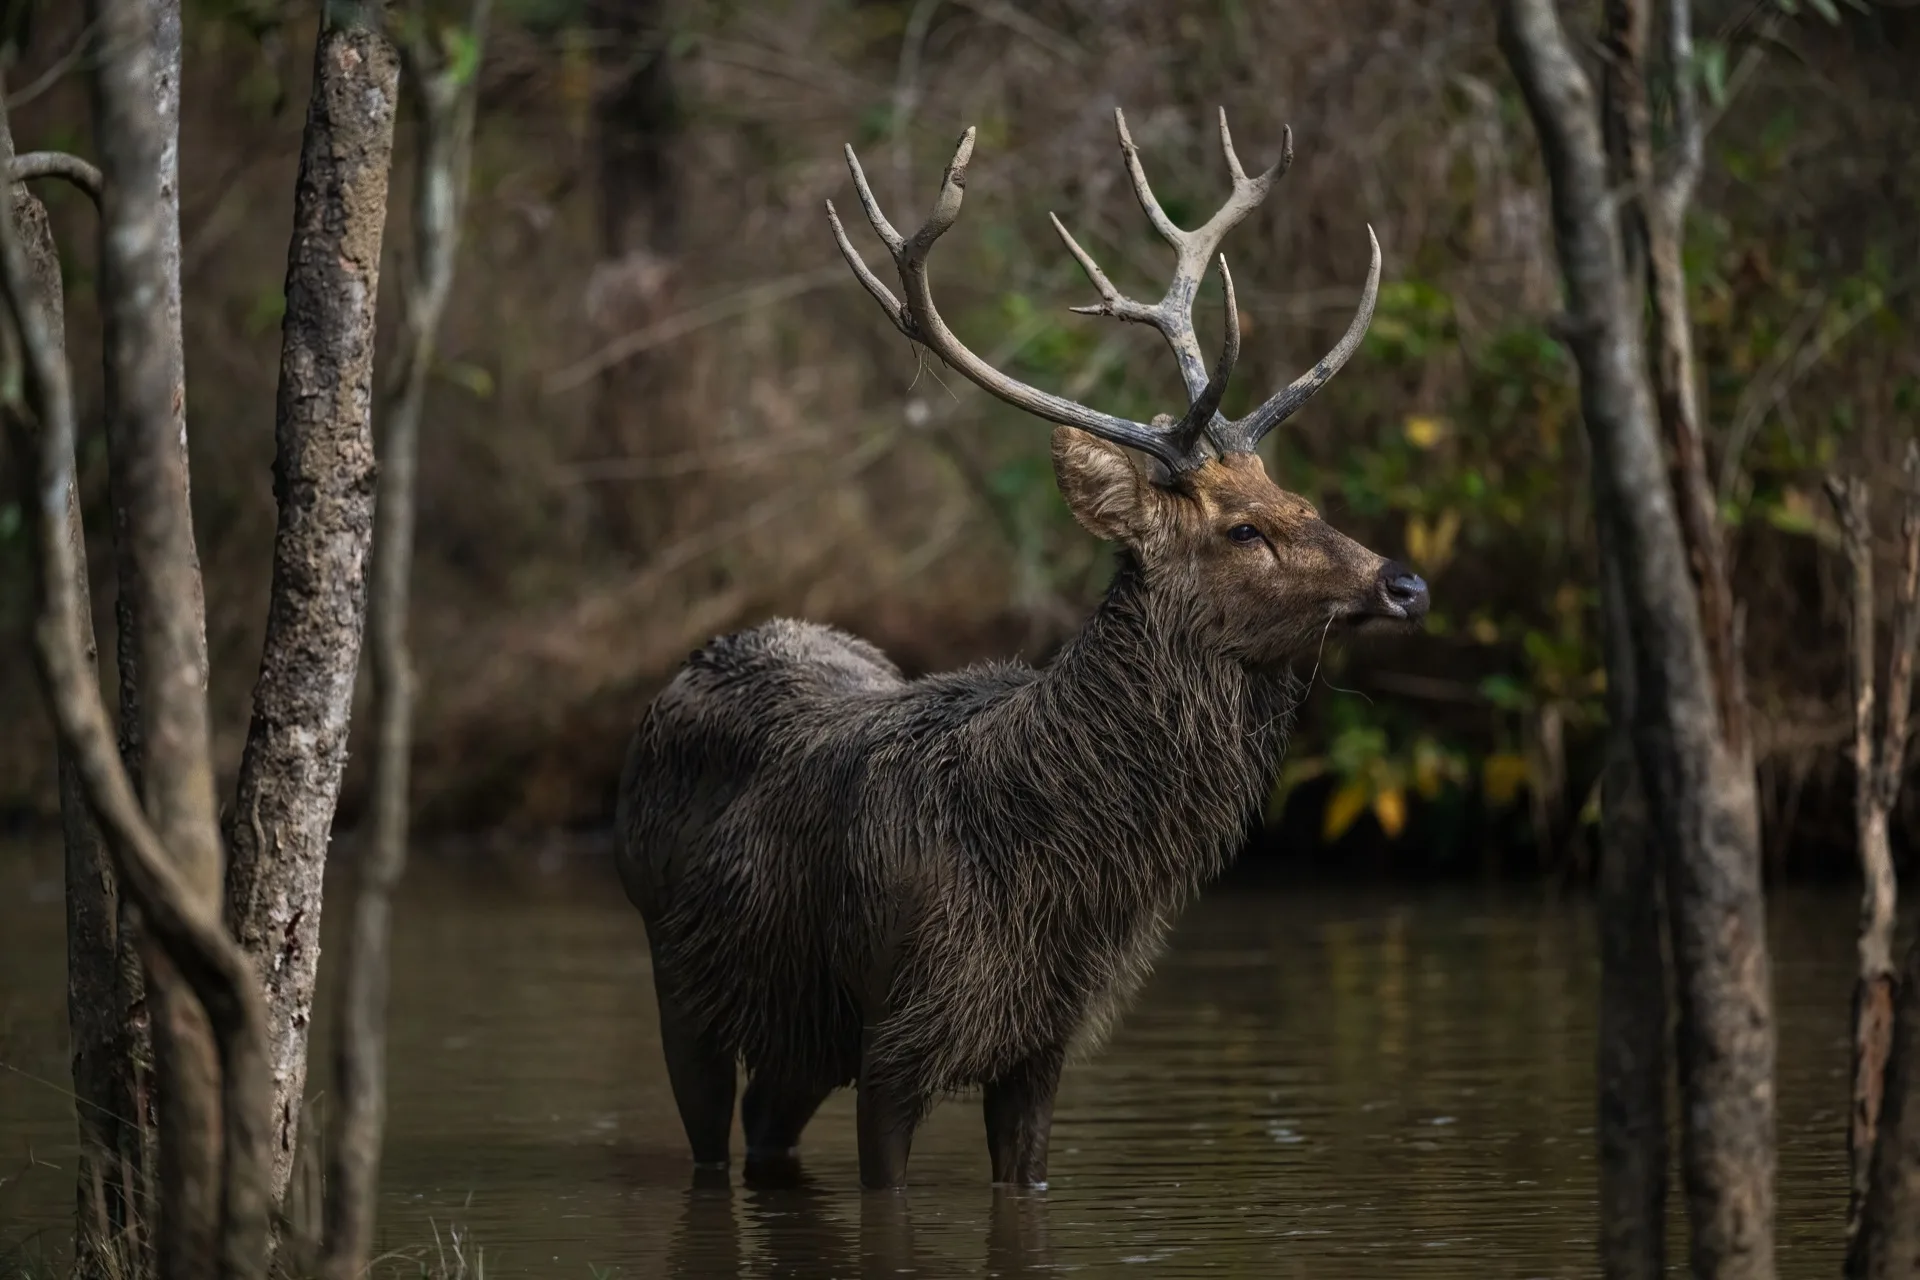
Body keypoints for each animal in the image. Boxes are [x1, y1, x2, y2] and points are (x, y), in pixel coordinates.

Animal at [615, 107, 1429, 1192]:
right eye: (1243, 529)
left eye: (1301, 500)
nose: (1405, 582)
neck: (1057, 885)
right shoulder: (899, 1026)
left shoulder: (1045, 1040)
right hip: (678, 974)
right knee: (712, 1130)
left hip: (800, 1037)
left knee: (766, 1128)